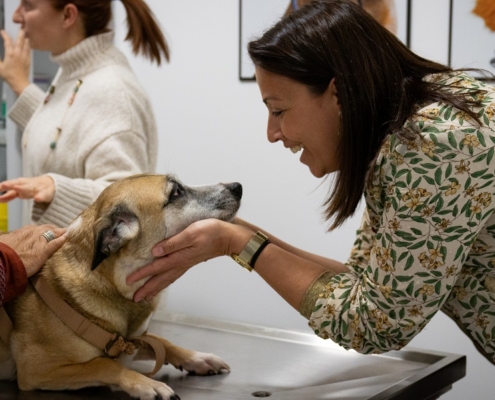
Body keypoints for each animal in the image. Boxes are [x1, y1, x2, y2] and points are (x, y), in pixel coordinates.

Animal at [0, 174, 243, 400]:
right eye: (176, 192)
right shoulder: (37, 370)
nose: (238, 187)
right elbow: (105, 364)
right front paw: (148, 385)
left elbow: (162, 342)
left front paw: (198, 359)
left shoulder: (134, 342)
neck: (113, 285)